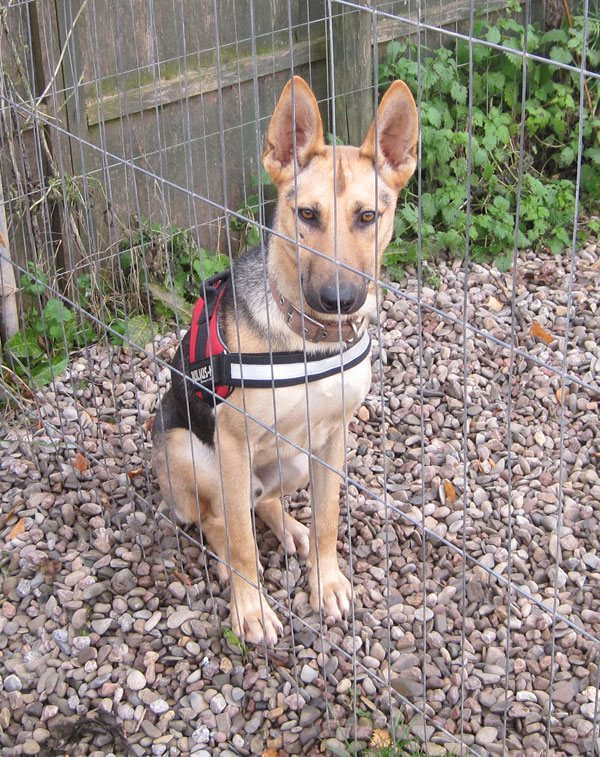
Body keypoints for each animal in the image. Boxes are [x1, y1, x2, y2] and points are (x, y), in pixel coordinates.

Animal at [152, 77, 418, 644]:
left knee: (264, 502)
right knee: (218, 522)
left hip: (293, 462)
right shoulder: (231, 445)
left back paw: (291, 530)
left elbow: (328, 518)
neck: (308, 339)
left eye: (368, 216)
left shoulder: (334, 437)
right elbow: (242, 542)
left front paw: (326, 579)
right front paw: (249, 609)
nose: (340, 300)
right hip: (189, 453)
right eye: (307, 215)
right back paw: (229, 562)